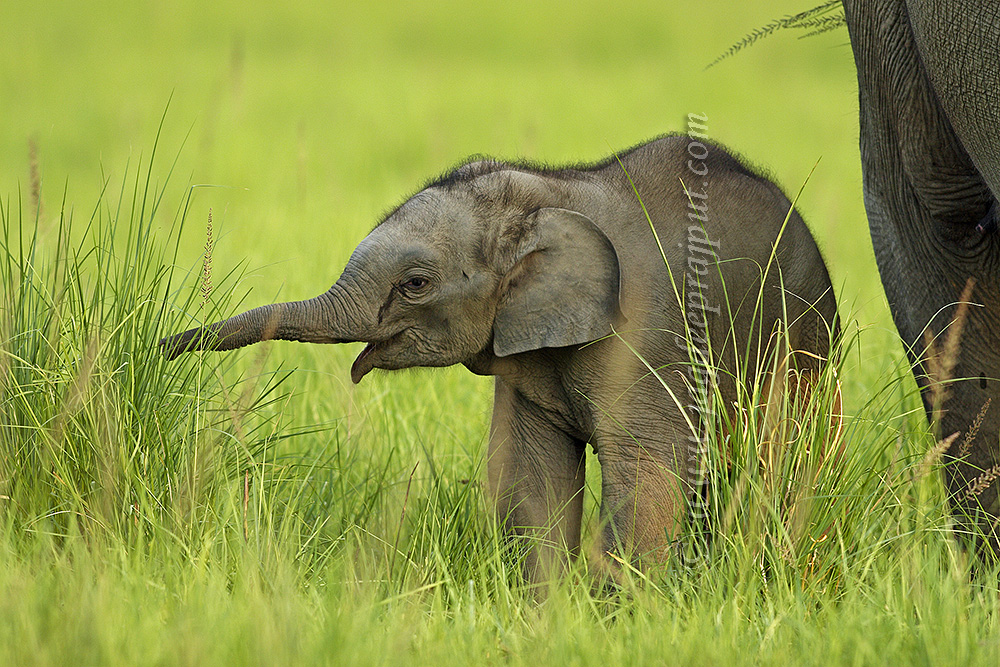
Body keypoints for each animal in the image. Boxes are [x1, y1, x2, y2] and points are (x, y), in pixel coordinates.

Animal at [160, 135, 838, 581]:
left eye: (415, 284)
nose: (160, 346)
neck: (547, 196)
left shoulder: (646, 332)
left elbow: (651, 468)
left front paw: (621, 618)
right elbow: (530, 476)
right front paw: (550, 616)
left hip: (805, 338)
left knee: (782, 452)